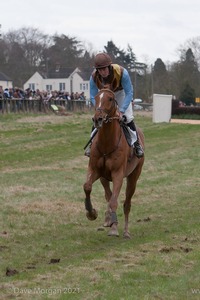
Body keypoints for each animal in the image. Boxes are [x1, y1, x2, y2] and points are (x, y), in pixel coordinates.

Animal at [83, 88, 144, 238]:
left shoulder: (118, 174)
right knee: (108, 195)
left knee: (126, 203)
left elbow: (114, 202)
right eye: (96, 97)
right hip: (104, 178)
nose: (97, 118)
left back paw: (125, 231)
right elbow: (87, 187)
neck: (107, 143)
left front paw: (114, 227)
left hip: (133, 176)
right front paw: (91, 213)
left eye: (110, 99)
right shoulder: (95, 170)